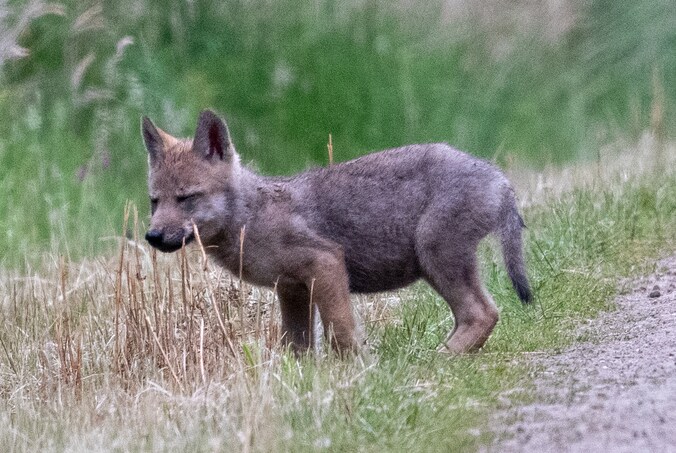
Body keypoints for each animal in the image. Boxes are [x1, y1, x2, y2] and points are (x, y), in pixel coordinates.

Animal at [142, 110, 532, 355]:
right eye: (154, 201)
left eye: (186, 198)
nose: (153, 236)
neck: (250, 219)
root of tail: (499, 179)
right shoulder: (292, 289)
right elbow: (296, 348)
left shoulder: (326, 264)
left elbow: (342, 334)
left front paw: (358, 371)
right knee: (480, 314)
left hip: (436, 259)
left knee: (483, 313)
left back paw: (436, 358)